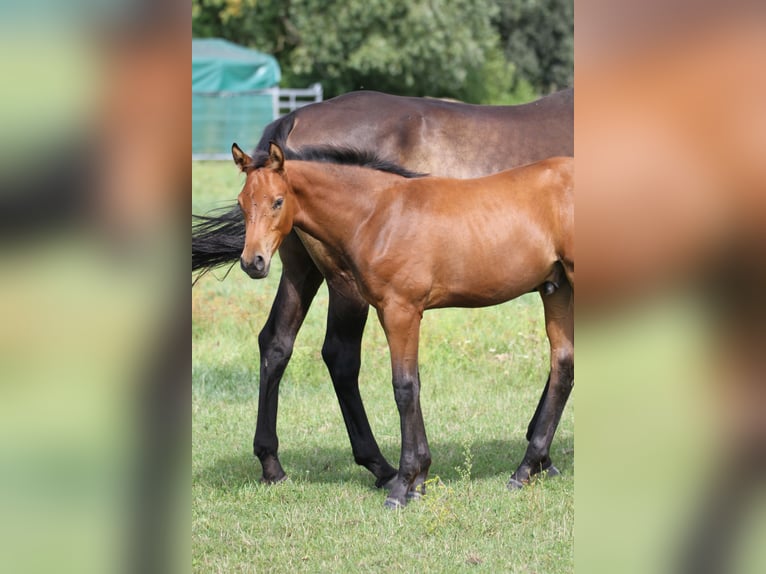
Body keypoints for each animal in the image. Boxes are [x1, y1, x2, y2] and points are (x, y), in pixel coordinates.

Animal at [193, 89, 573, 489]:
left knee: (277, 343)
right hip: (341, 282)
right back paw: (380, 466)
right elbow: (406, 383)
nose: (252, 261)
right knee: (340, 355)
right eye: (241, 203)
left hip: (300, 269)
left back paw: (273, 464)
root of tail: (294, 117)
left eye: (277, 202)